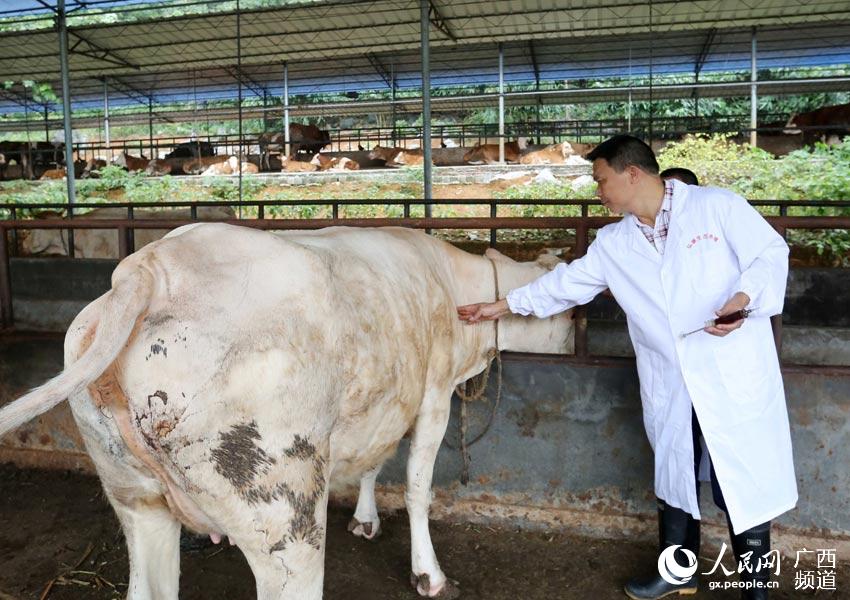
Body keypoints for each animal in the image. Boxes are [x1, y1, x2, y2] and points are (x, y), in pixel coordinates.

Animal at [0, 226, 572, 600]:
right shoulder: (433, 394)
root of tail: (148, 268)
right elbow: (416, 487)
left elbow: (373, 462)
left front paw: (365, 519)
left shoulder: (383, 400)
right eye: (569, 316)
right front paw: (428, 575)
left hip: (134, 496)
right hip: (283, 509)